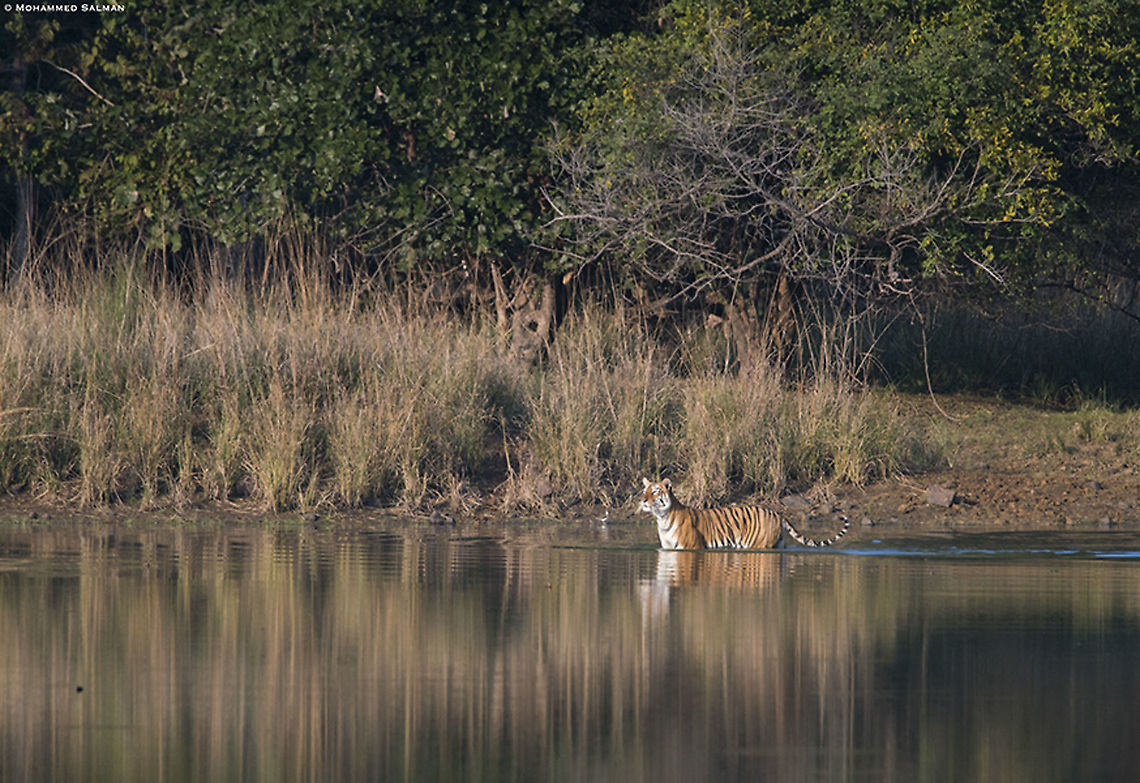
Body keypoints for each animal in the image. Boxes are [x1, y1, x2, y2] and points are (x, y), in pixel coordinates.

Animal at [638, 477, 851, 550]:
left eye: (654, 491)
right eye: (644, 490)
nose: (643, 500)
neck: (663, 519)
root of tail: (779, 514)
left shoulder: (693, 546)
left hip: (759, 543)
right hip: (778, 543)